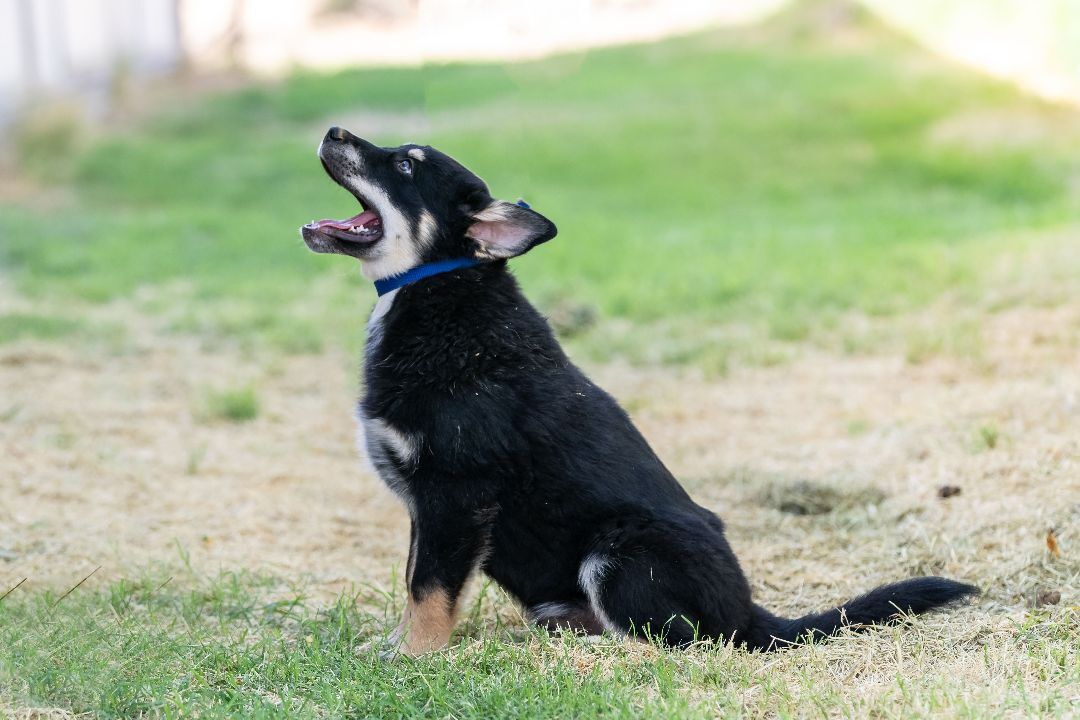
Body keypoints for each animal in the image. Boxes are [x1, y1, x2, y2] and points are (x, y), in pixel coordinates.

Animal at [298, 126, 980, 656]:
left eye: (405, 165)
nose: (333, 131)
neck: (441, 289)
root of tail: (750, 614)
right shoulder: (429, 507)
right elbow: (416, 579)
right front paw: (394, 645)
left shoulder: (456, 497)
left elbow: (430, 589)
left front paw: (414, 657)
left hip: (621, 550)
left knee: (683, 640)